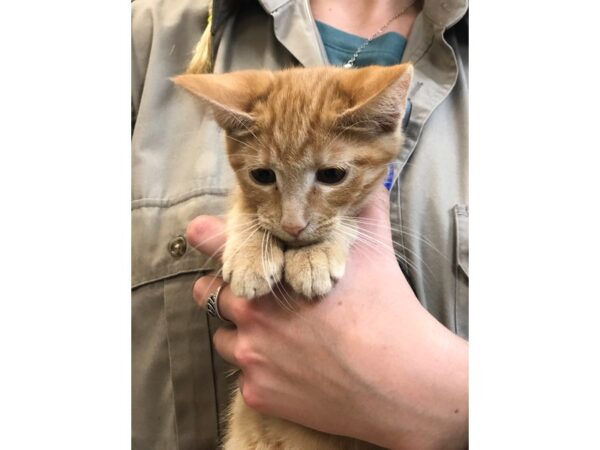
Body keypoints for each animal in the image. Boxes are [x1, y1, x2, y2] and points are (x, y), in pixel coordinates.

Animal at [175, 64, 412, 450]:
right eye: (262, 175)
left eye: (332, 175)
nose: (293, 225)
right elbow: (247, 207)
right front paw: (251, 253)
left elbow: (348, 219)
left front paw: (315, 255)